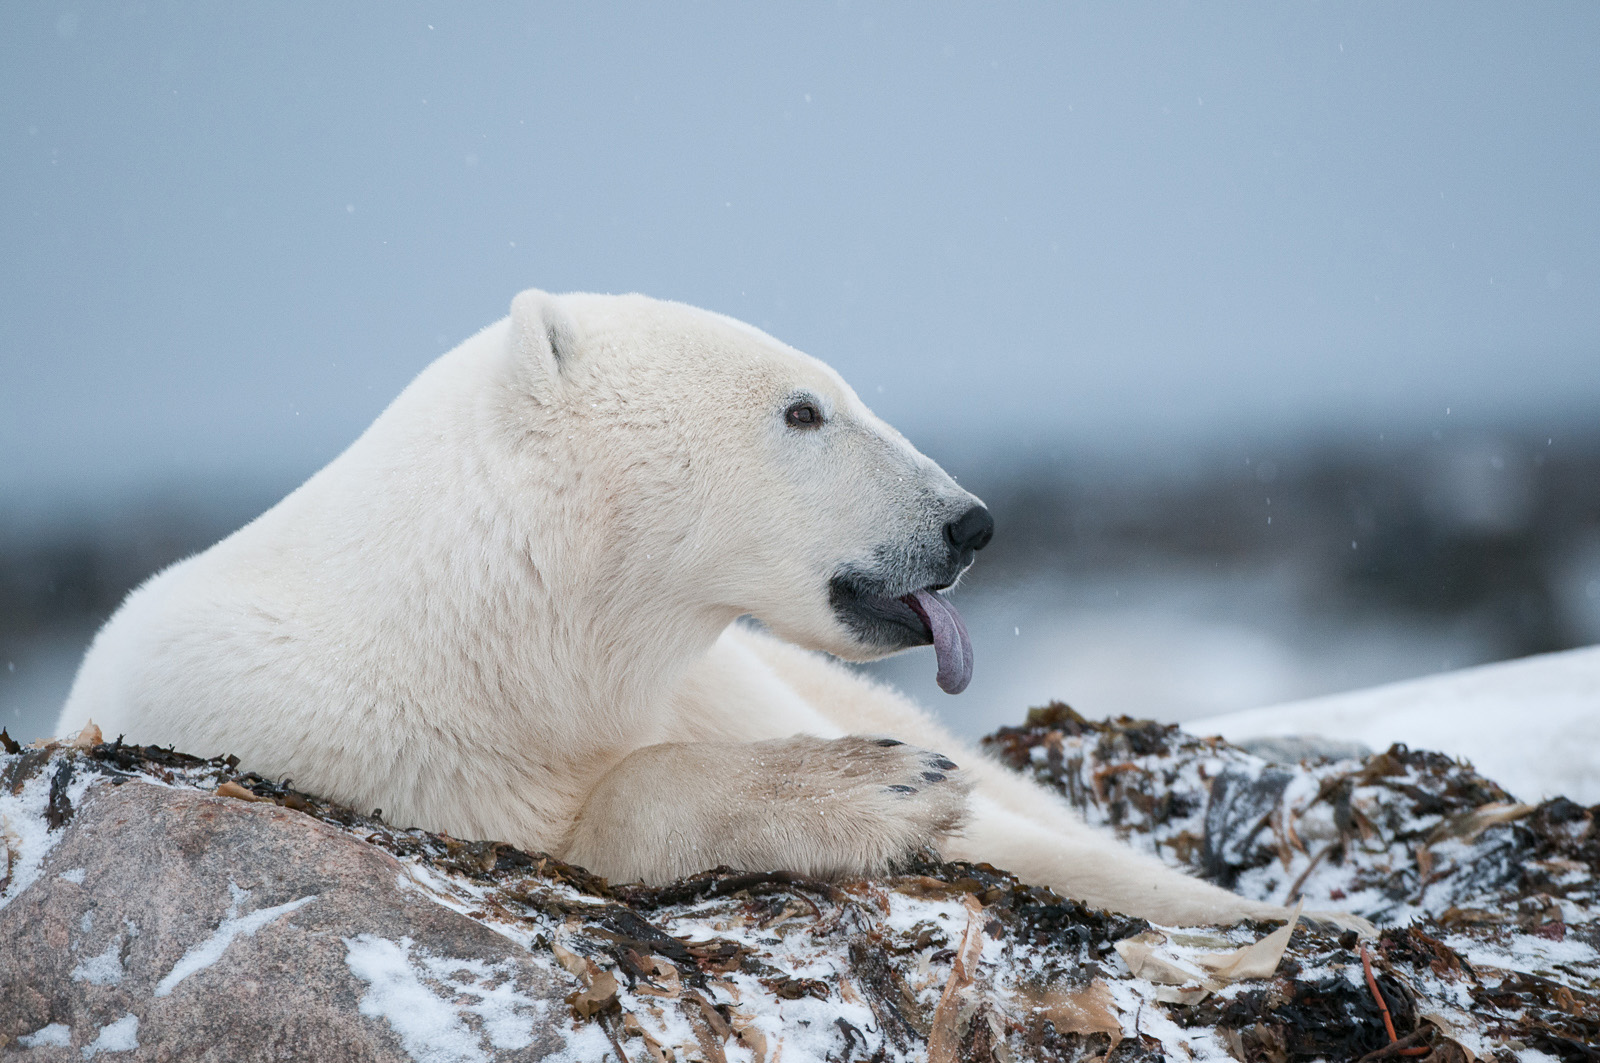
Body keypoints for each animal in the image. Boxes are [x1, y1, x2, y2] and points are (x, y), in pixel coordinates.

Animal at [59, 291, 1363, 928]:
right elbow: (584, 826)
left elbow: (1031, 836)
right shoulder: (322, 742)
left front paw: (1286, 927)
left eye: (833, 392)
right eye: (804, 411)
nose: (969, 523)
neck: (488, 622)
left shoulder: (719, 674)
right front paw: (871, 787)